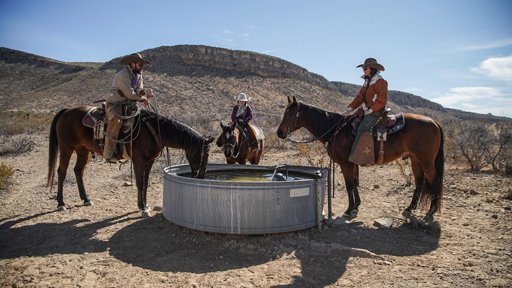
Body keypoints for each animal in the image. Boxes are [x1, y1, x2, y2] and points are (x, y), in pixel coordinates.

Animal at [47, 105, 215, 216]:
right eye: (205, 153)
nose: (201, 176)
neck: (154, 130)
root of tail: (66, 111)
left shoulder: (149, 160)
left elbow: (145, 183)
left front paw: (144, 205)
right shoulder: (138, 159)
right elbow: (140, 182)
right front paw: (142, 208)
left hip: (82, 150)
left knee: (78, 171)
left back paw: (86, 199)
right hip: (66, 148)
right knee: (61, 172)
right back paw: (61, 203)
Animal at [276, 97, 444, 223]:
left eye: (291, 113)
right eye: (284, 112)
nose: (279, 133)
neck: (337, 129)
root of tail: (434, 122)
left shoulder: (345, 163)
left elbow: (350, 185)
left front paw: (349, 209)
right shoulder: (352, 163)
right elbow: (355, 183)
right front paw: (356, 206)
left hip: (426, 160)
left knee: (434, 181)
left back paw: (430, 213)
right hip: (415, 159)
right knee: (419, 182)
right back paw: (410, 208)